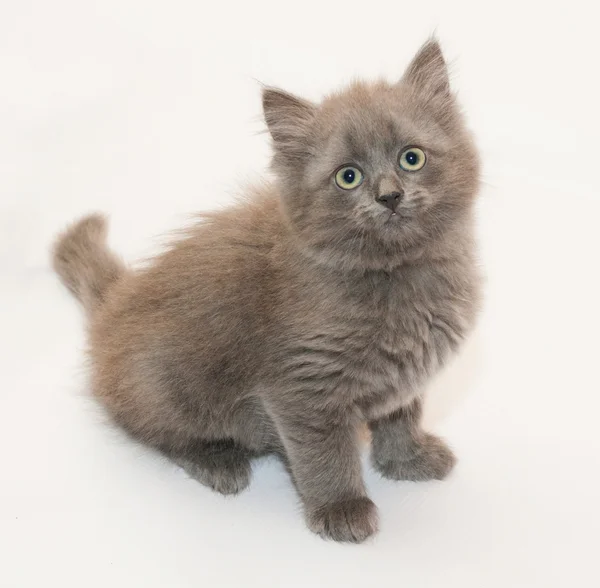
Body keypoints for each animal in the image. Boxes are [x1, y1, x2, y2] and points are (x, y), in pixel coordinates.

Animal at [52, 38, 482, 544]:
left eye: (411, 158)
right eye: (348, 176)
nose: (389, 195)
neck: (395, 274)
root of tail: (115, 300)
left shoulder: (402, 374)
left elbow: (400, 418)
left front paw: (407, 461)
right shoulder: (301, 387)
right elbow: (324, 456)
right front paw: (342, 508)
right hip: (164, 383)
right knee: (154, 431)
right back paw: (218, 461)